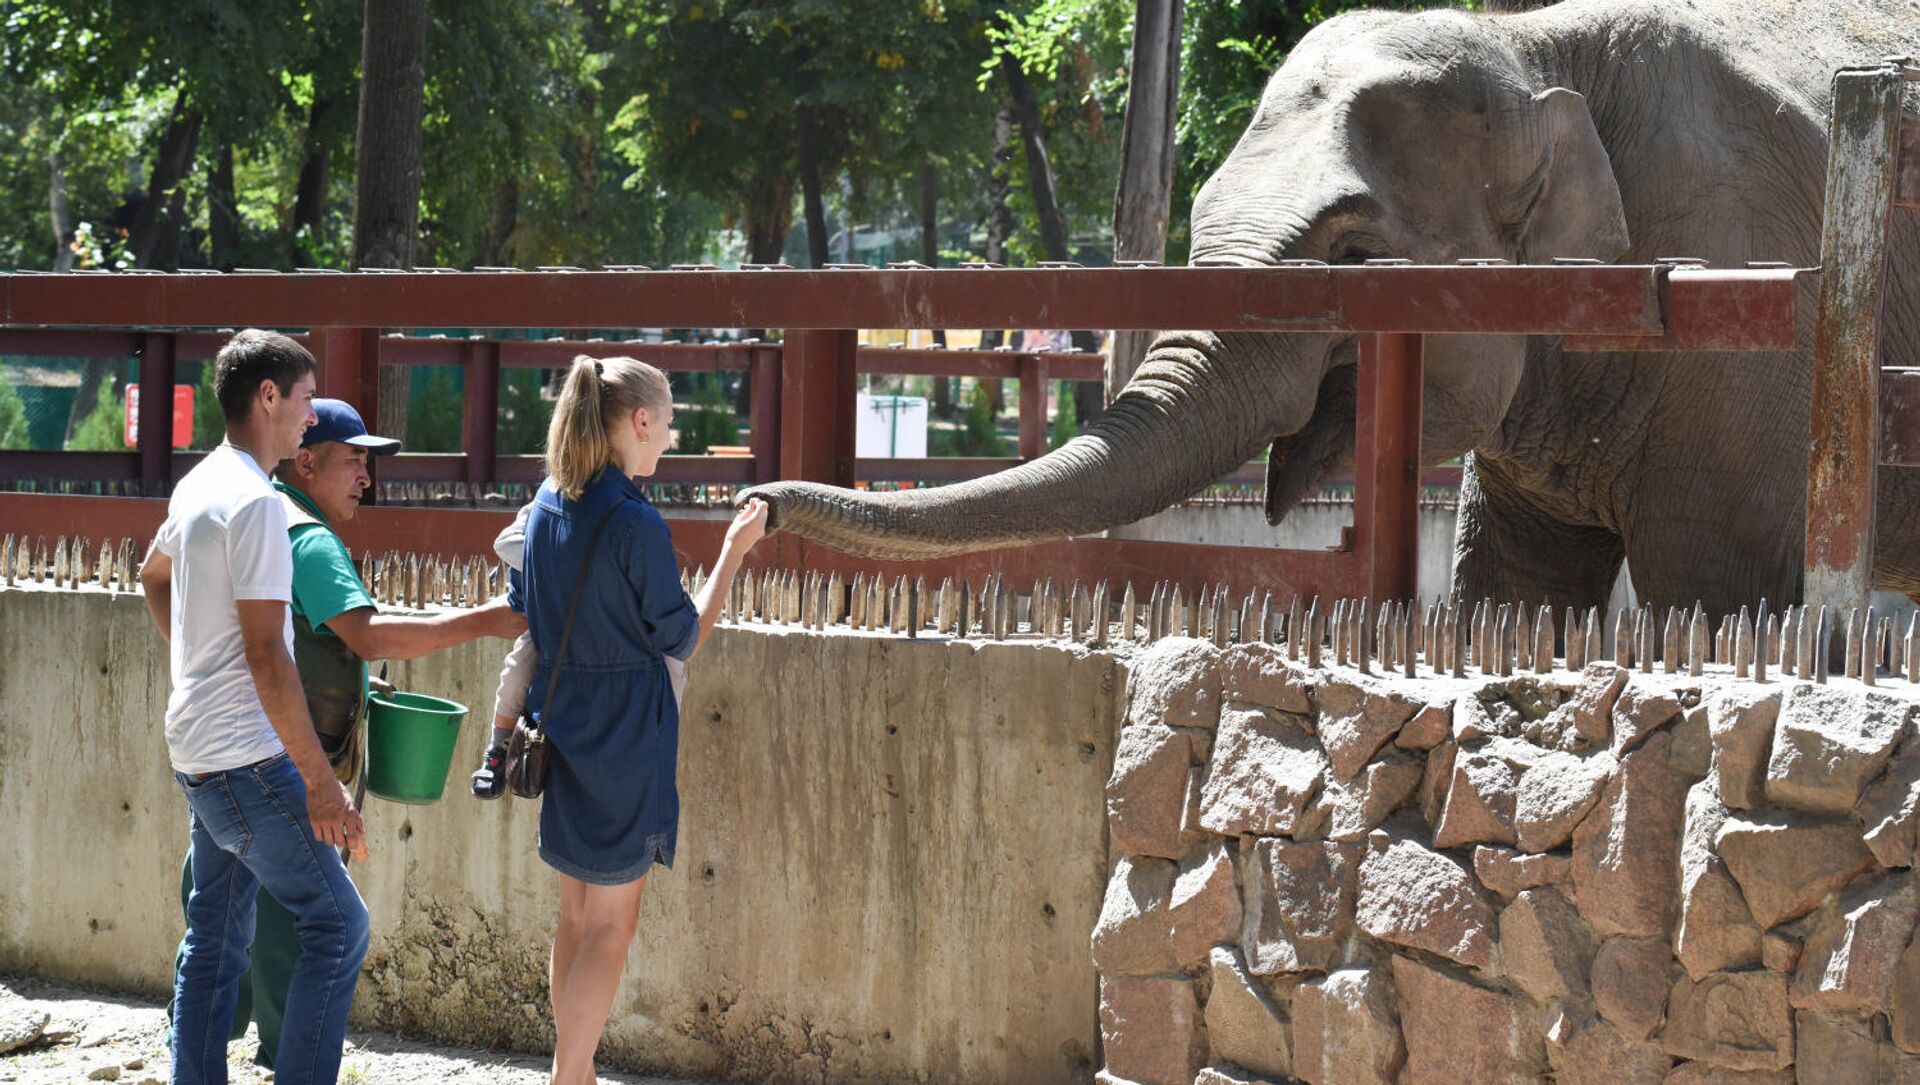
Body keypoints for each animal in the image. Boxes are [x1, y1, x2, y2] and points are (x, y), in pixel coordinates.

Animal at [737, 0, 1920, 622]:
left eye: (1355, 254)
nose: (756, 504)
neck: (1538, 46)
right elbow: (1509, 589)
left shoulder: (1753, 351)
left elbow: (1719, 597)